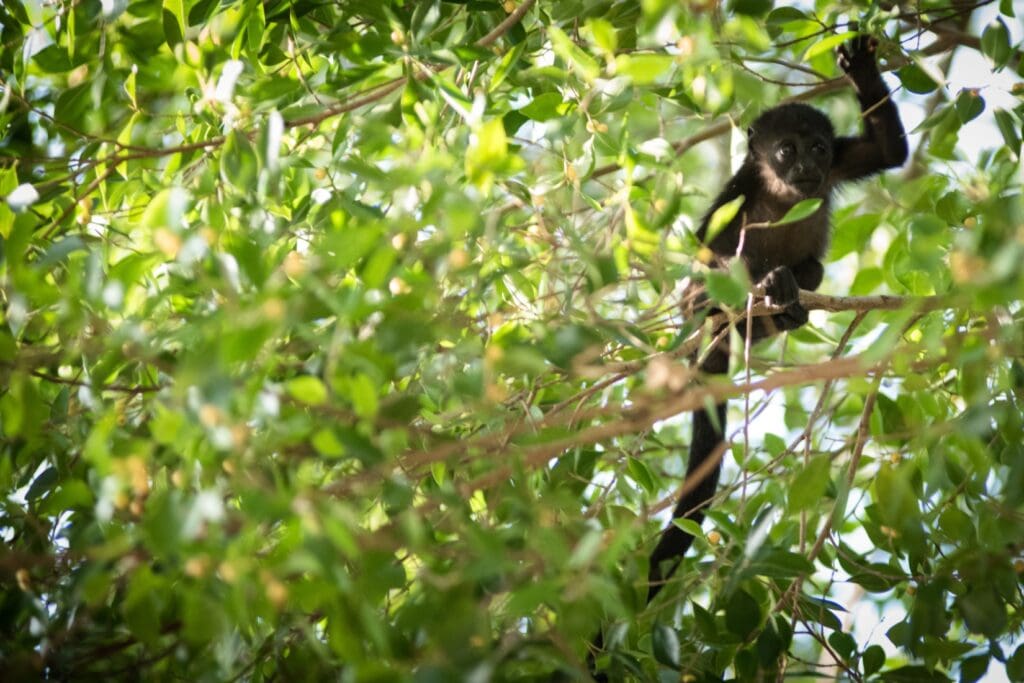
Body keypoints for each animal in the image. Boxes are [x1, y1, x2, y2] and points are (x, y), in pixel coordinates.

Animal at [643, 32, 909, 604]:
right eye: (785, 149)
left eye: (818, 148)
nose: (805, 166)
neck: (784, 190)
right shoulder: (739, 192)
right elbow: (704, 265)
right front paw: (755, 281)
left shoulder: (842, 162)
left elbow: (888, 152)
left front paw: (861, 68)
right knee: (711, 295)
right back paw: (769, 293)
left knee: (813, 268)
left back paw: (791, 298)